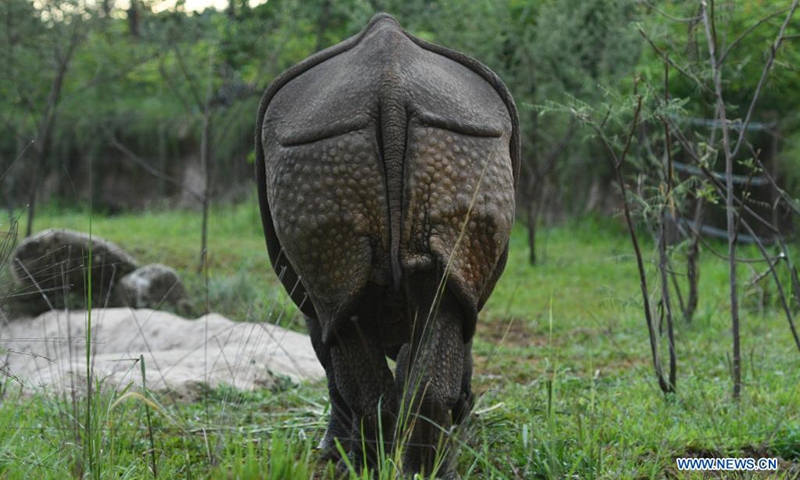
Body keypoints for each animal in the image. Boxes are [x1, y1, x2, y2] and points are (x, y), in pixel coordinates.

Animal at [255, 13, 519, 477]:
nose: (467, 408)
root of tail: (391, 88)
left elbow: (329, 357)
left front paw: (332, 450)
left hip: (331, 141)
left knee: (349, 319)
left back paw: (371, 466)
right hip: (452, 136)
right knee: (406, 305)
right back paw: (414, 469)